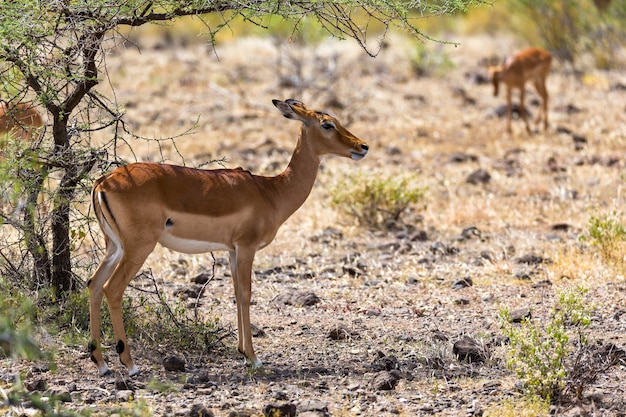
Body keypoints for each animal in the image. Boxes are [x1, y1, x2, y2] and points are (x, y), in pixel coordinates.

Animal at [90, 99, 368, 376]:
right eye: (327, 124)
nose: (362, 146)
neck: (271, 192)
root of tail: (104, 181)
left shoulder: (232, 250)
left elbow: (235, 292)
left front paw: (243, 352)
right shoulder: (246, 247)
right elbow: (246, 293)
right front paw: (254, 357)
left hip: (114, 247)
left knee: (94, 284)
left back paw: (101, 363)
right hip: (138, 248)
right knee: (112, 288)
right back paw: (129, 364)